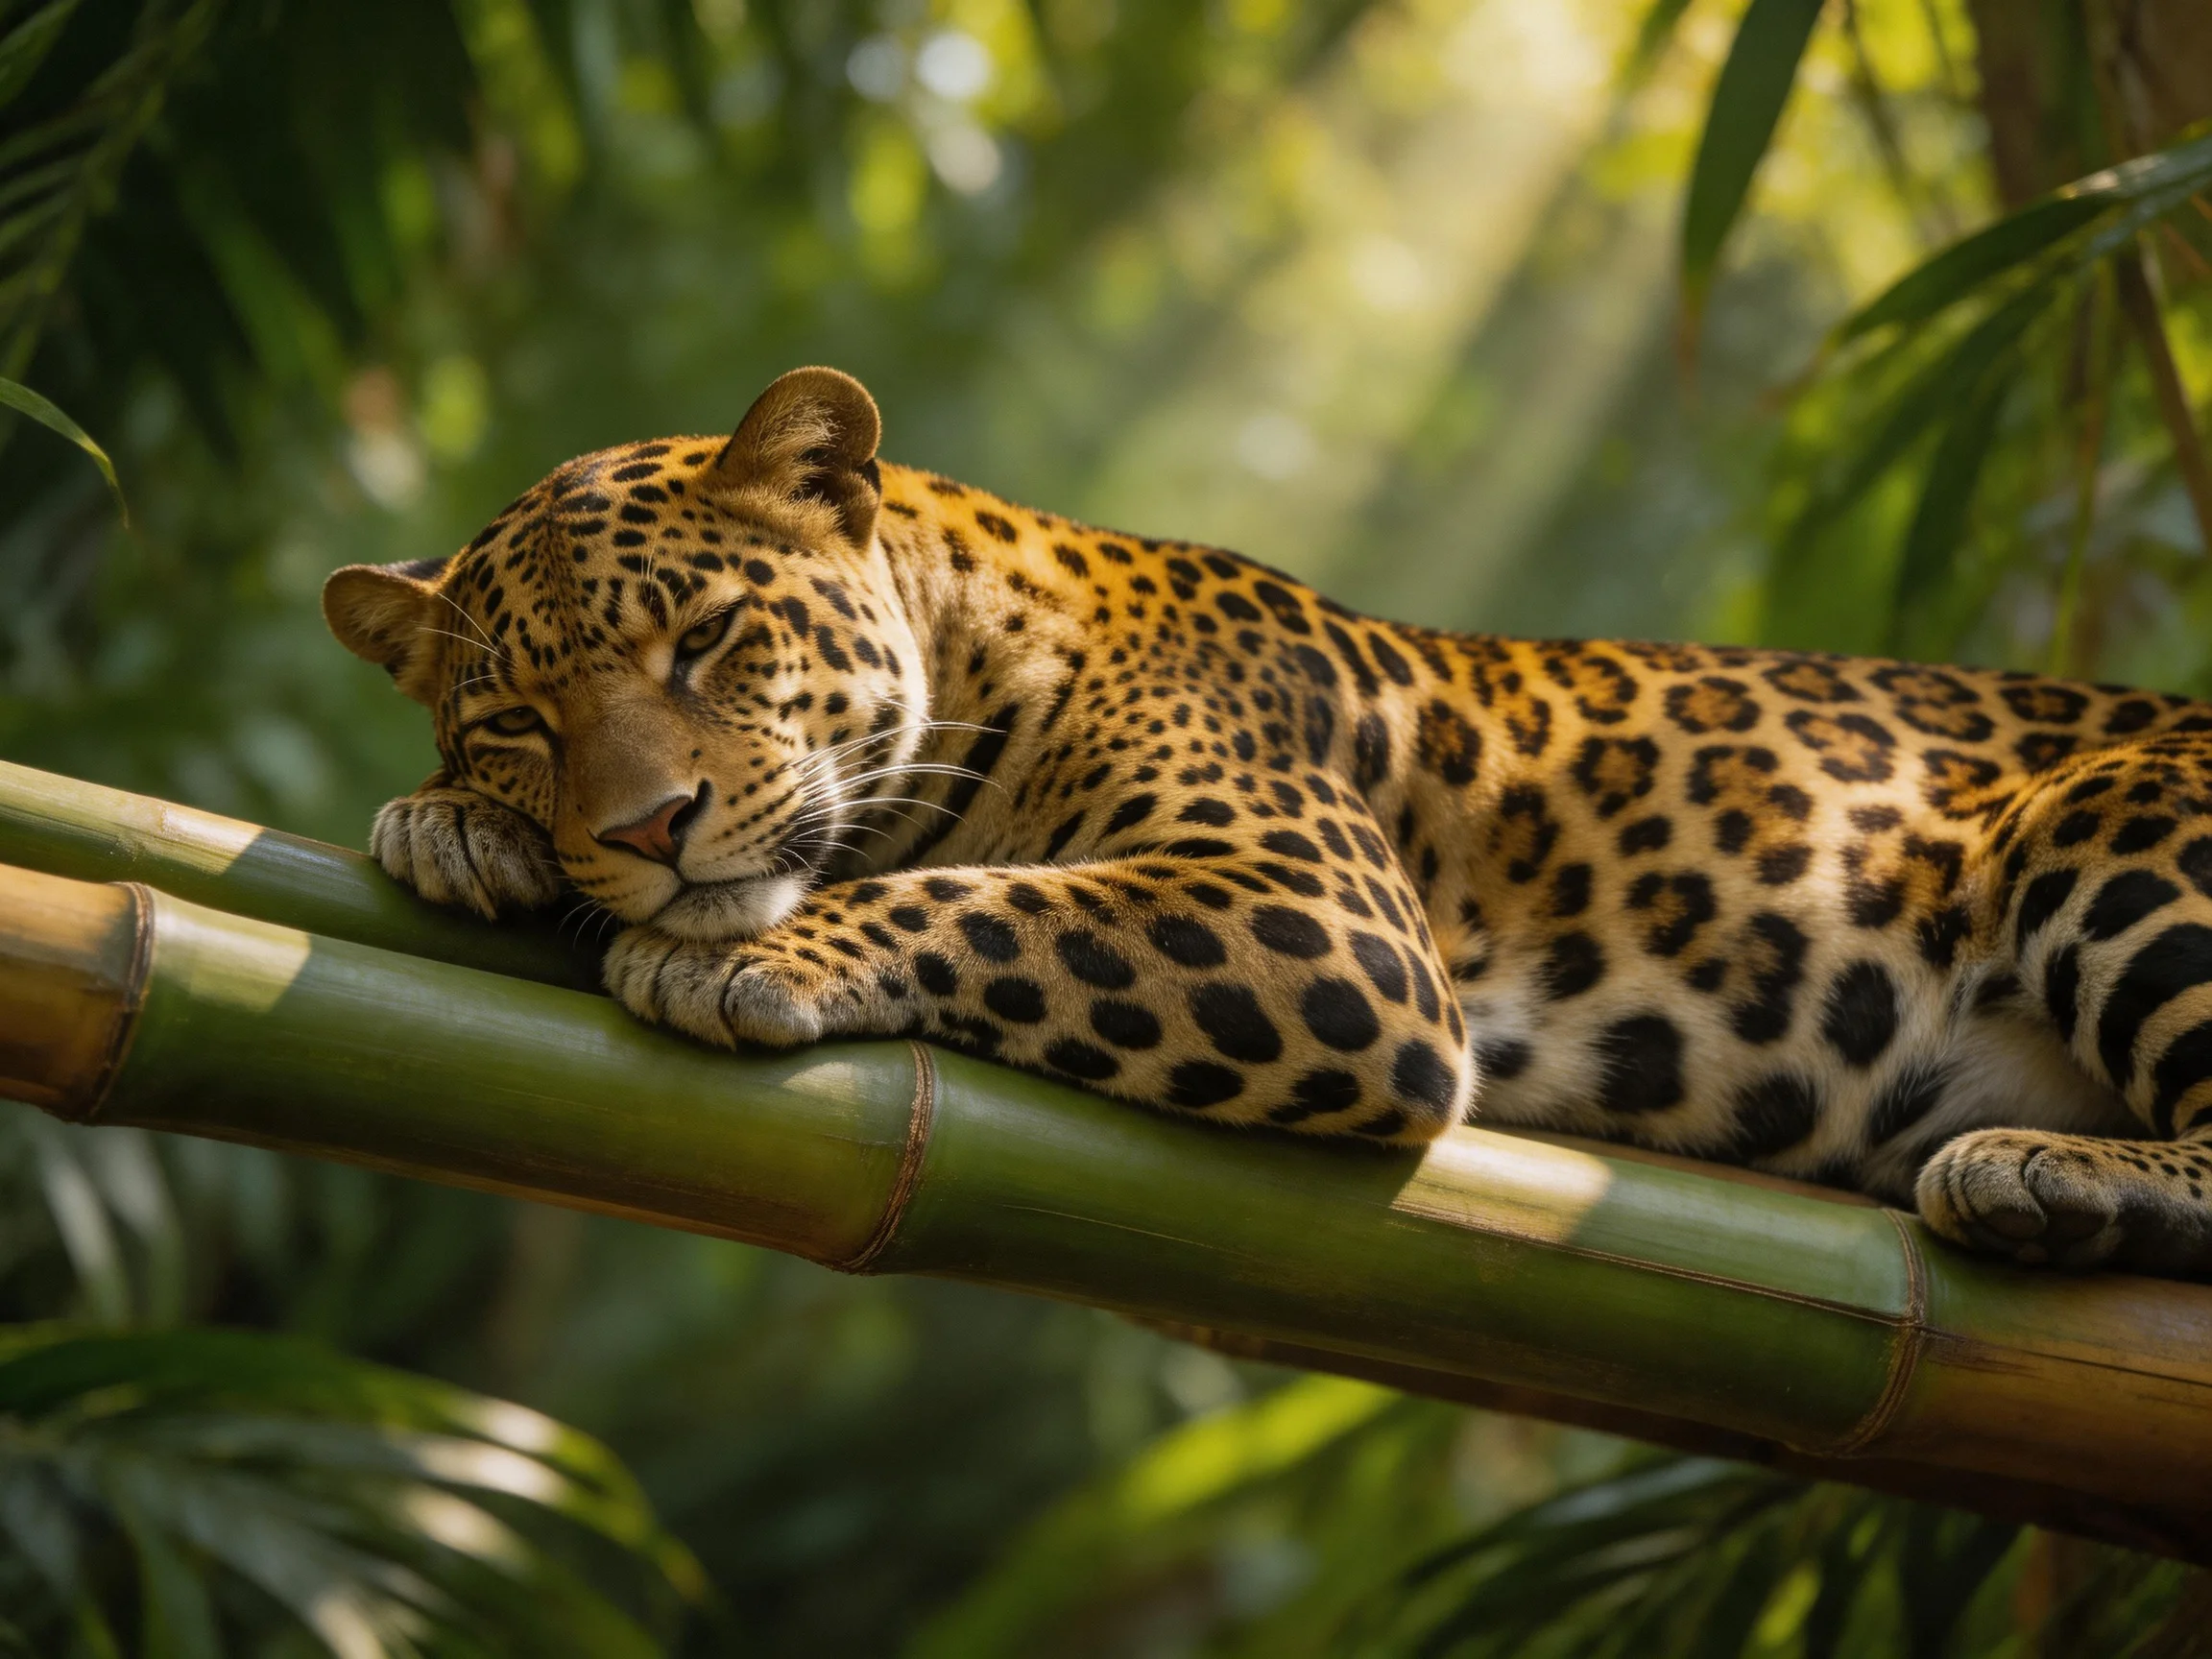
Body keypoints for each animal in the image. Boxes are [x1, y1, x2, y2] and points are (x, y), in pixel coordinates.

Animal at [325, 366, 2212, 1280]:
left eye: (709, 640)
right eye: (516, 724)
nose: (648, 828)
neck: (979, 630)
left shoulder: (1321, 916)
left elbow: (1000, 896)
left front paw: (748, 954)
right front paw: (455, 831)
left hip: (2108, 817)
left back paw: (2041, 1171)